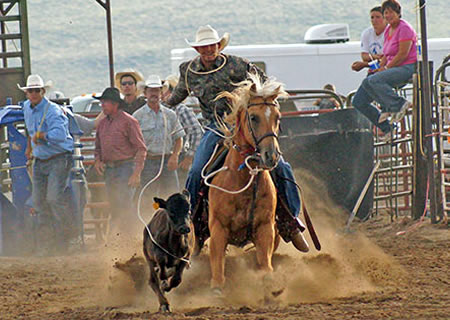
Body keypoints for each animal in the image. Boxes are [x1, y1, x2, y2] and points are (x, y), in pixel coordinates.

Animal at [207, 73, 284, 292]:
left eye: (277, 117)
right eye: (254, 117)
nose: (271, 156)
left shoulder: (265, 228)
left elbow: (266, 269)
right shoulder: (218, 228)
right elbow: (218, 273)